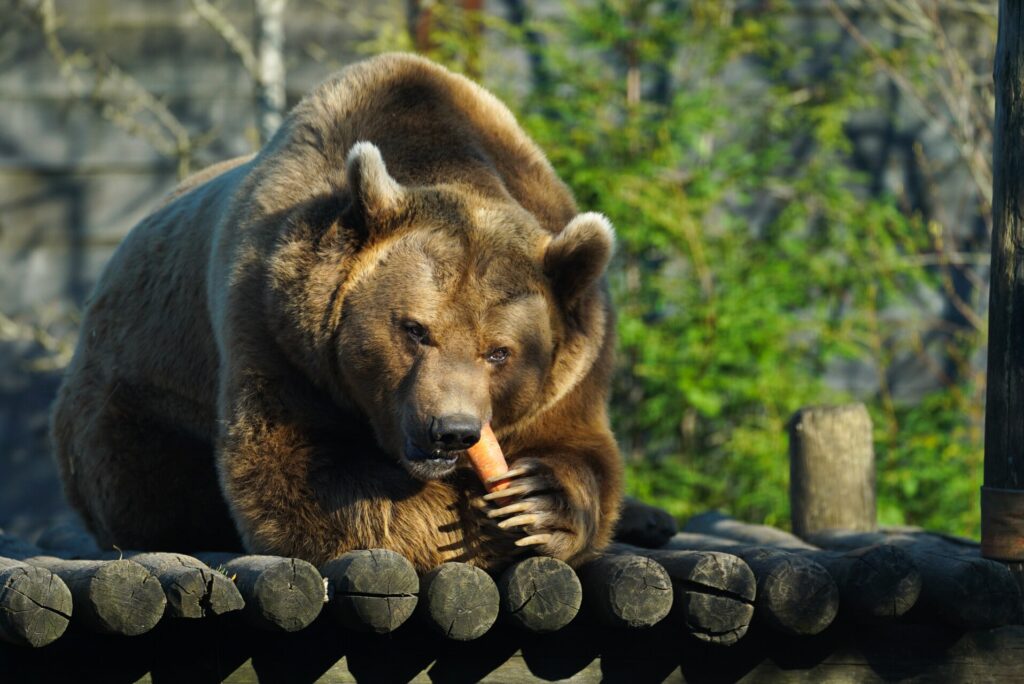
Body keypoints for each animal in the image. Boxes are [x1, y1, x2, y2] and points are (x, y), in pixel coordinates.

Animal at [51, 53, 618, 569]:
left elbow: (583, 453)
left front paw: (536, 500)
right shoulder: (275, 327)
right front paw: (461, 520)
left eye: (499, 351)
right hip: (135, 394)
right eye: (415, 329)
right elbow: (306, 478)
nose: (451, 430)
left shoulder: (574, 367)